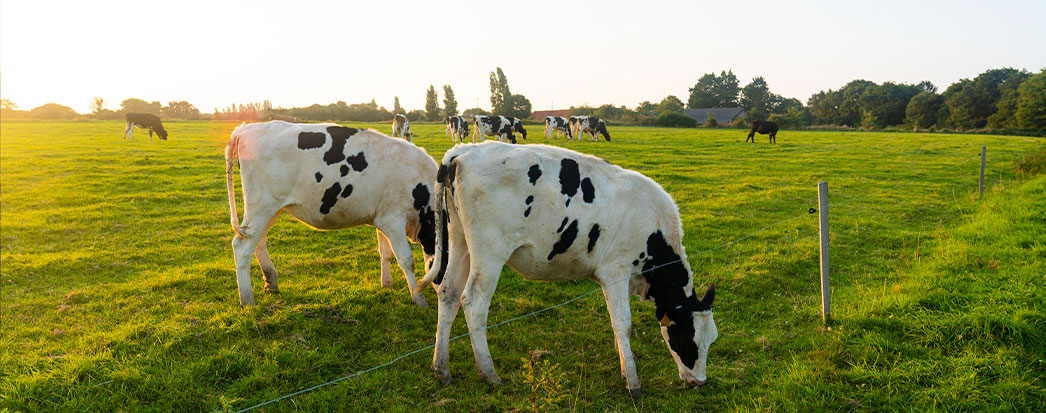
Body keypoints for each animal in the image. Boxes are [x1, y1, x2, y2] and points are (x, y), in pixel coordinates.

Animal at [224, 119, 437, 307]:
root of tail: (245, 128)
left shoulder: (382, 218)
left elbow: (385, 254)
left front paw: (387, 285)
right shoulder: (393, 221)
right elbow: (407, 260)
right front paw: (419, 298)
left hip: (270, 209)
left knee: (258, 241)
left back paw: (271, 281)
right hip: (262, 206)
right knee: (242, 246)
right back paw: (247, 299)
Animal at [416, 142, 719, 397]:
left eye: (712, 341)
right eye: (689, 340)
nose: (699, 382)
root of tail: (463, 151)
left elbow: (616, 323)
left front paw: (623, 363)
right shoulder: (616, 271)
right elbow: (624, 323)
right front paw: (633, 382)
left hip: (460, 241)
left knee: (449, 293)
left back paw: (442, 368)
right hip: (489, 252)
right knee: (474, 302)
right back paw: (489, 373)